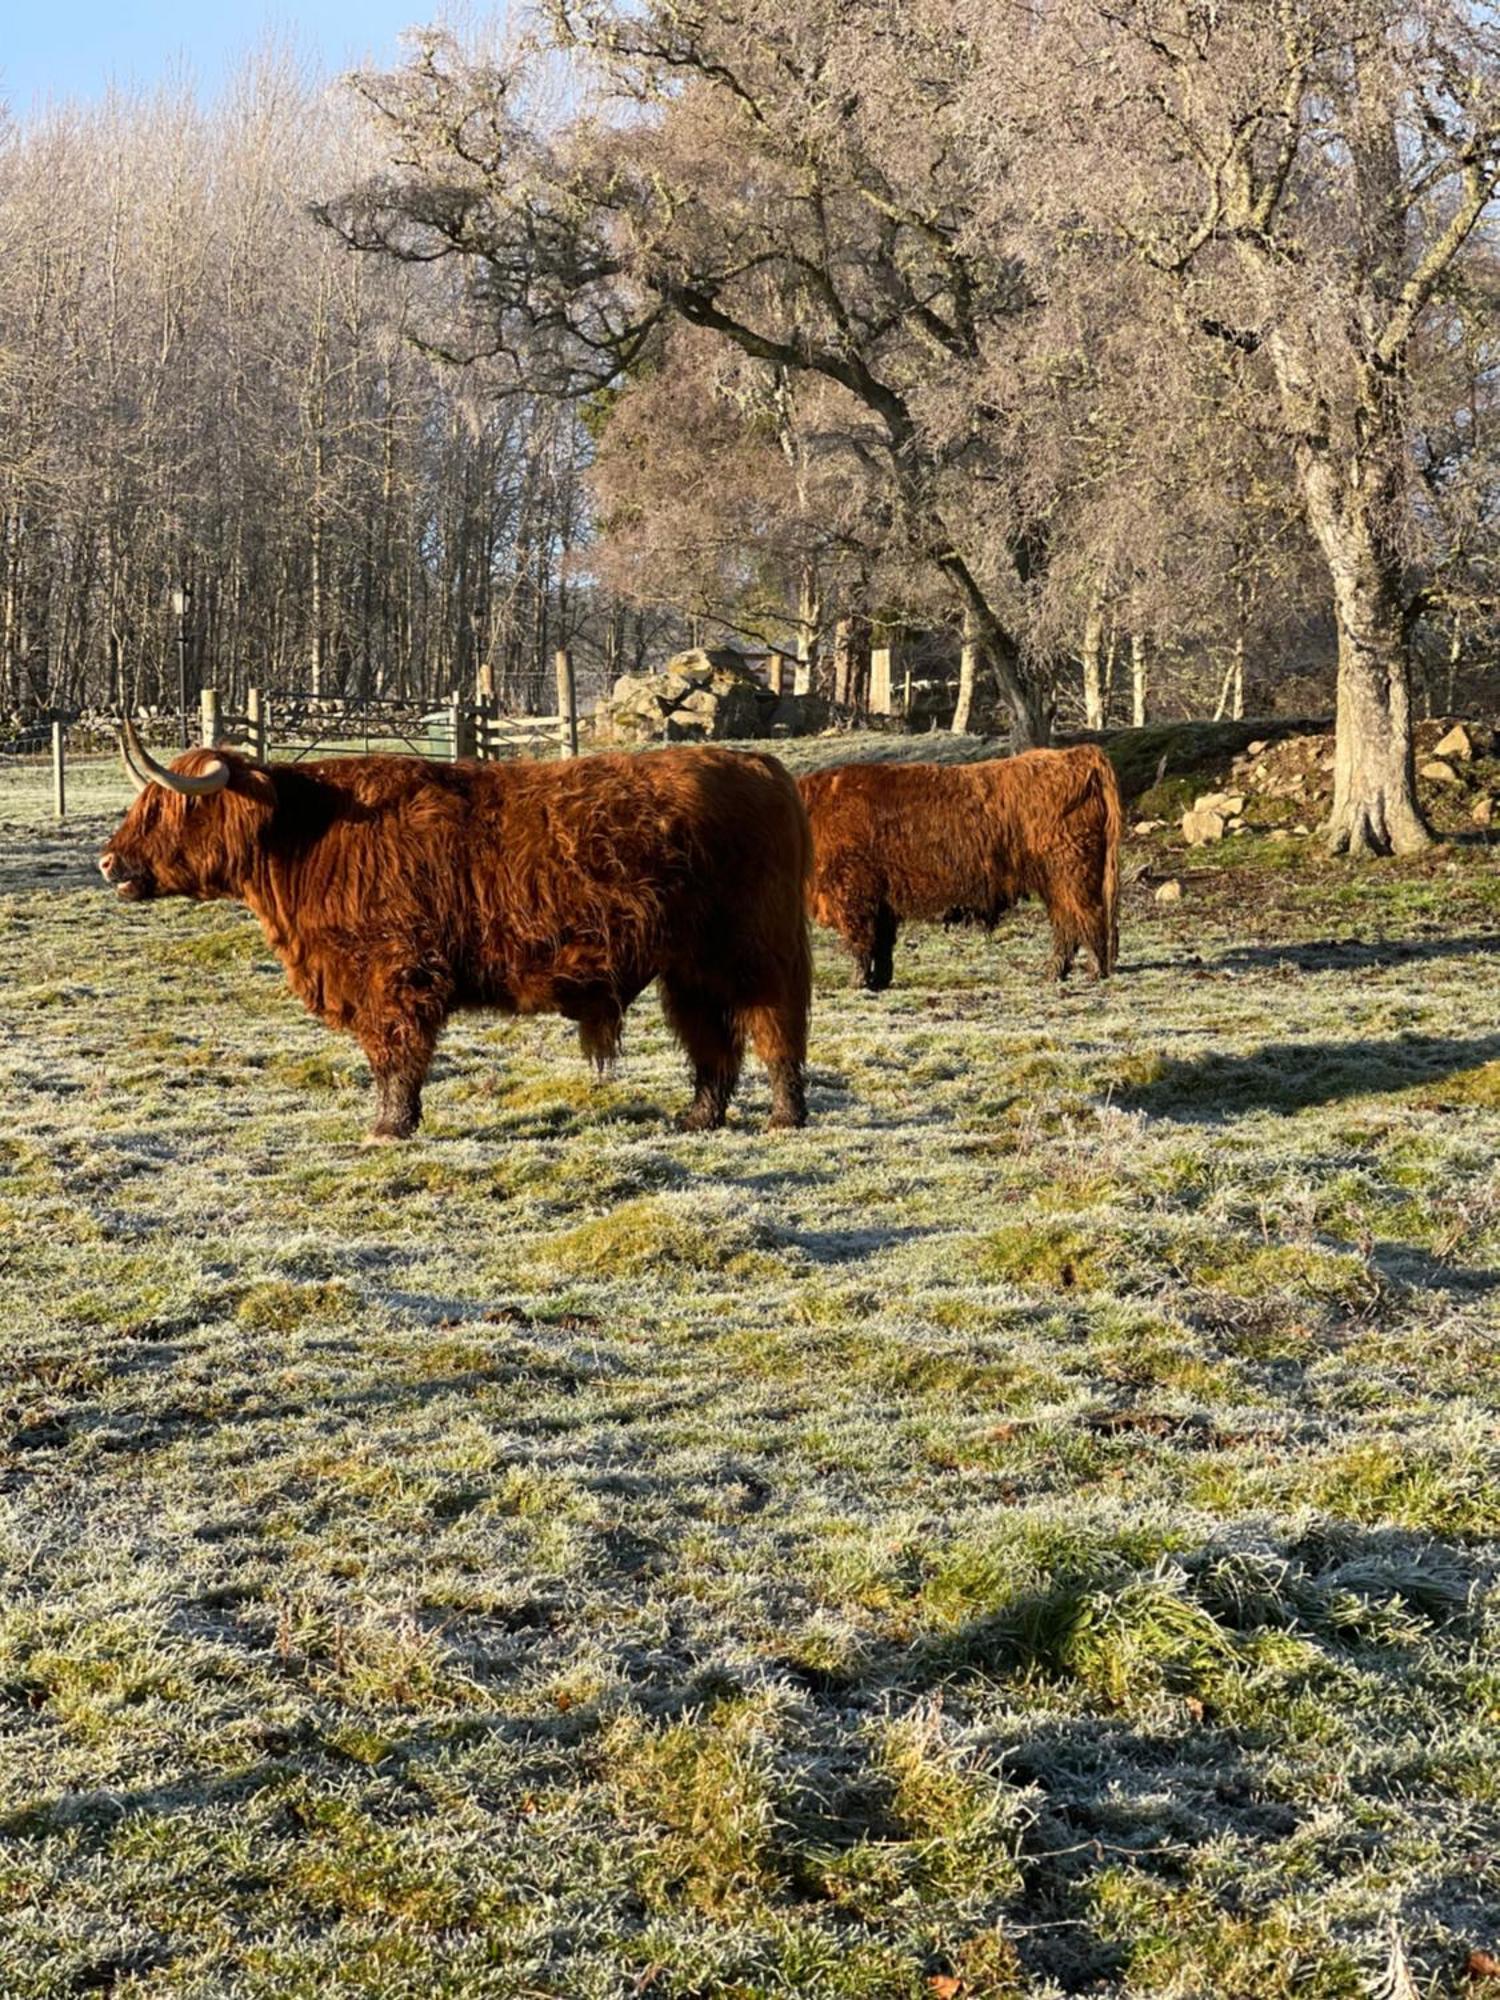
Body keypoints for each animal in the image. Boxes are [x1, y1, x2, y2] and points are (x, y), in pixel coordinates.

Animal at [100, 728, 816, 1144]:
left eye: (164, 808)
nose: (108, 862)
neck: (305, 838)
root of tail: (761, 765)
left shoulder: (395, 972)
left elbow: (394, 1055)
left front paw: (388, 1128)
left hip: (757, 949)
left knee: (774, 1028)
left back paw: (784, 1117)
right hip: (690, 964)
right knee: (712, 1041)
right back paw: (699, 1118)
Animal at [804, 748, 1120, 996]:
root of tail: (1076, 755)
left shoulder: (853, 893)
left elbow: (860, 943)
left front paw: (857, 983)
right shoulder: (880, 903)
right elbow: (881, 945)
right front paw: (878, 981)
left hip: (1071, 874)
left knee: (1087, 917)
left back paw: (1093, 972)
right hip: (1056, 883)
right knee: (1067, 925)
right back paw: (1054, 973)